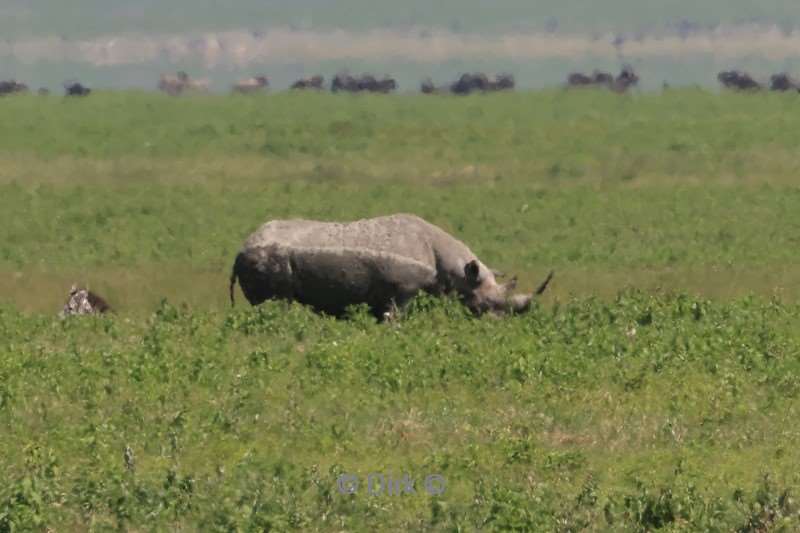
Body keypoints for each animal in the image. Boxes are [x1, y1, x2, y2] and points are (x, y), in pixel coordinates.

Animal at [228, 213, 552, 320]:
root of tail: (240, 248)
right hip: (266, 259)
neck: (458, 270)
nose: (500, 325)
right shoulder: (403, 291)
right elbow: (395, 320)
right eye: (485, 305)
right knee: (274, 304)